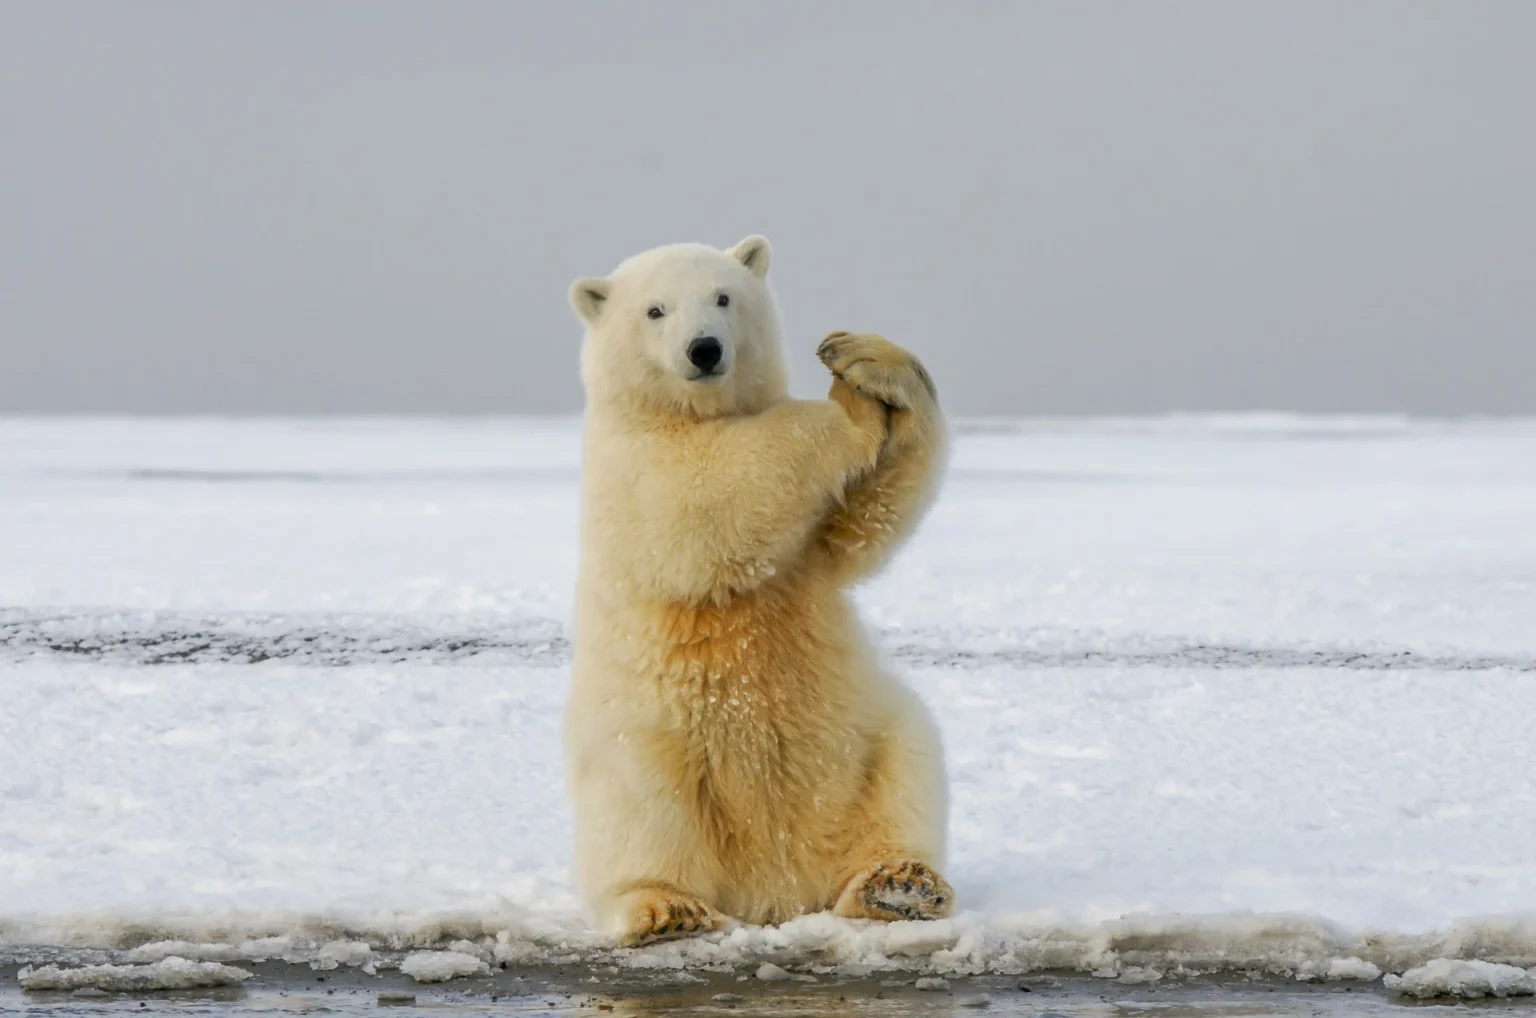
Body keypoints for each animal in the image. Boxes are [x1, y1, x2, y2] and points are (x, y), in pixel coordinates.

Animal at [564, 235, 951, 946]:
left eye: (724, 297)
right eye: (655, 310)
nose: (704, 349)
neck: (690, 412)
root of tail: (775, 889)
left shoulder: (811, 553)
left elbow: (865, 521)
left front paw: (862, 361)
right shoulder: (631, 464)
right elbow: (707, 493)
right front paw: (849, 410)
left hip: (866, 735)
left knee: (906, 767)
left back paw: (898, 885)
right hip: (645, 743)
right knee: (641, 810)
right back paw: (667, 908)